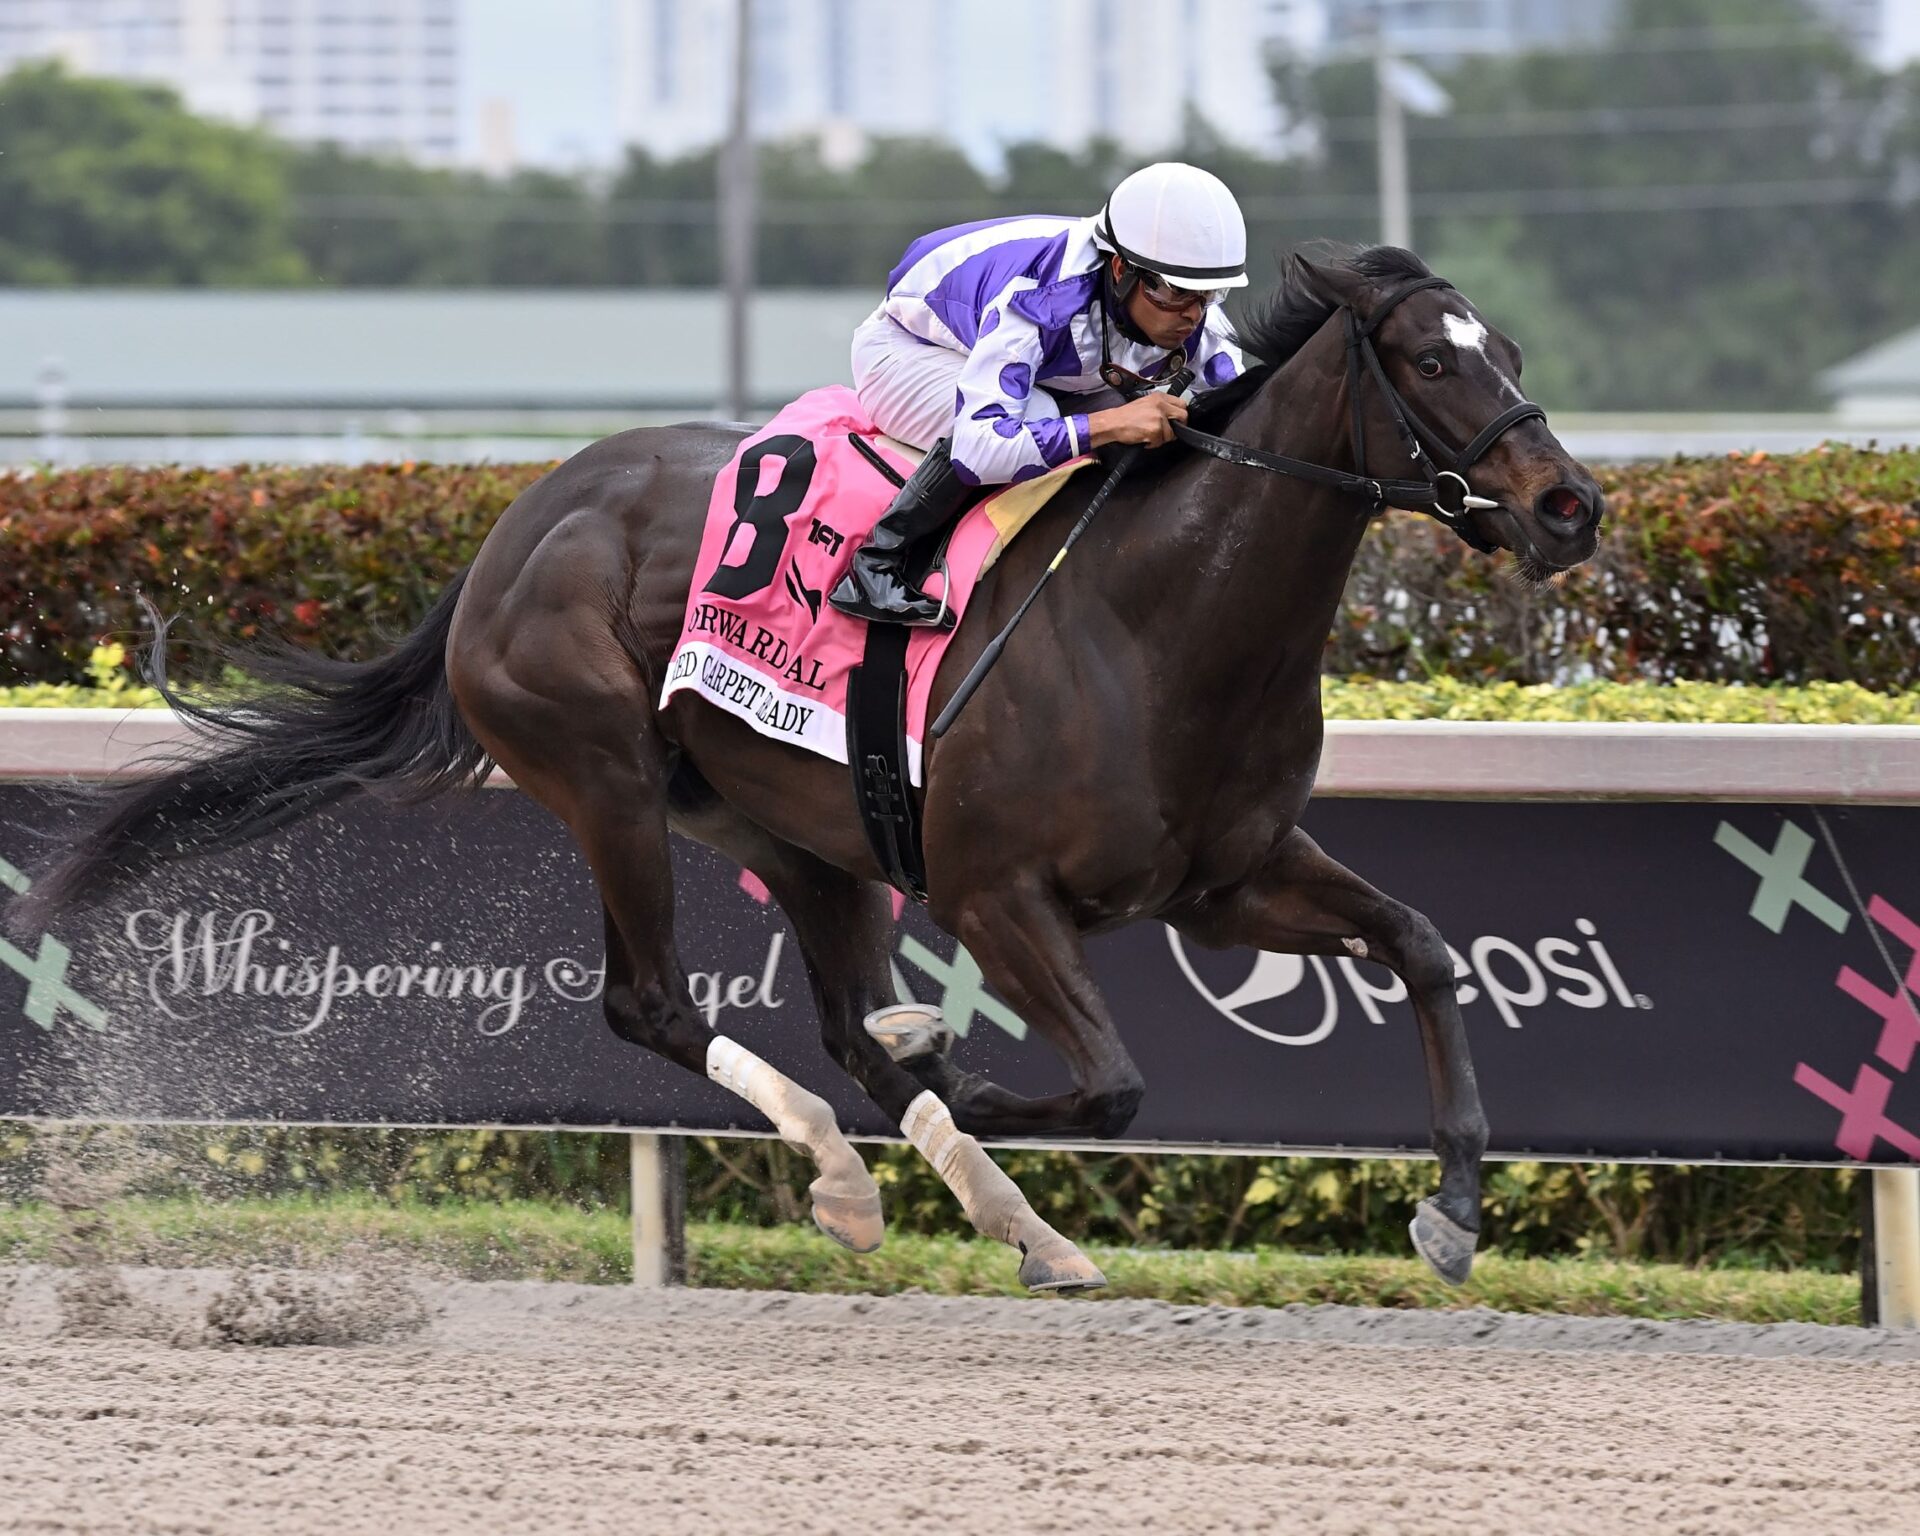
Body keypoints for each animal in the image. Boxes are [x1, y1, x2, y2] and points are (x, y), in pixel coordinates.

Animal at [17, 245, 1604, 1291]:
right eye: (1429, 360)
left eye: (1515, 354)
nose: (1570, 506)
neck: (1159, 624)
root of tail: (521, 519)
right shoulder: (995, 894)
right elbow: (1104, 1085)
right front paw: (954, 1077)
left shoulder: (1227, 881)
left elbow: (1424, 947)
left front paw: (1455, 1207)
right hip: (604, 778)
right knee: (655, 1004)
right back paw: (851, 1183)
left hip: (797, 830)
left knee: (835, 1020)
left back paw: (1015, 1223)